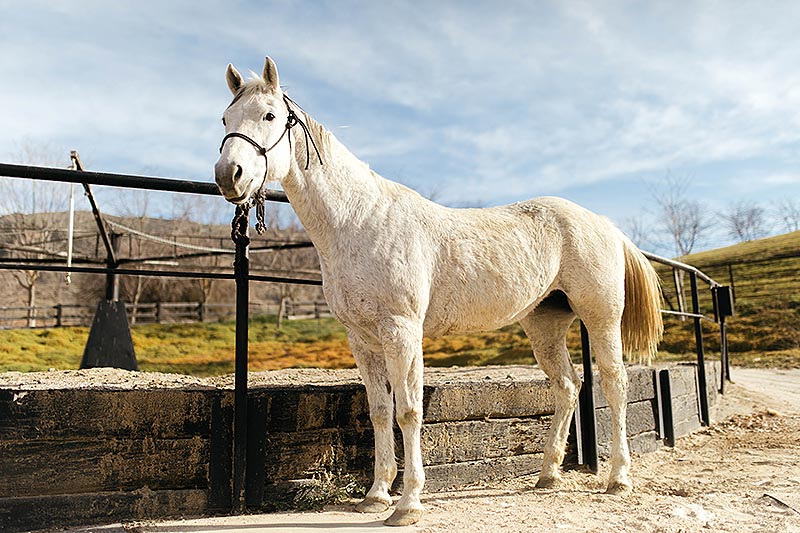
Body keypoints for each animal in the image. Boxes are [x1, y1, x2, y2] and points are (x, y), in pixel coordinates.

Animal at [214, 56, 663, 526]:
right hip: (545, 325)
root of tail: (603, 222)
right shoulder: (363, 340)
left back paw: (618, 478)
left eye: (269, 115)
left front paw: (408, 503)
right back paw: (548, 474)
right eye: (225, 118)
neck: (360, 219)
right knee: (568, 386)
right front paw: (376, 495)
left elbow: (409, 411)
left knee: (613, 384)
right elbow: (379, 412)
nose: (229, 176)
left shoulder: (402, 332)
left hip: (601, 317)